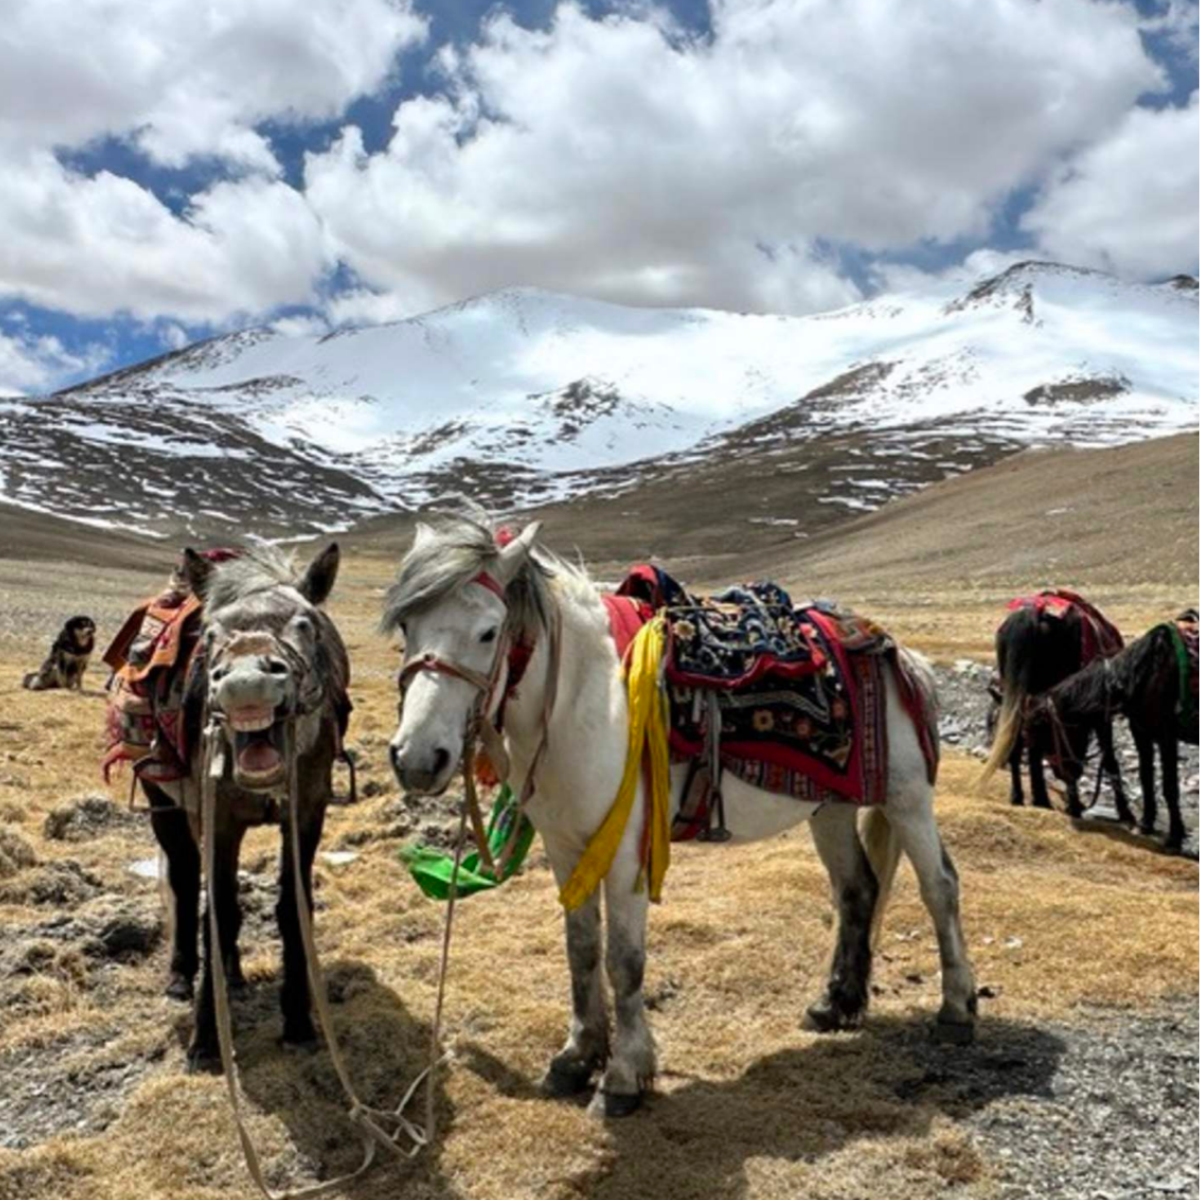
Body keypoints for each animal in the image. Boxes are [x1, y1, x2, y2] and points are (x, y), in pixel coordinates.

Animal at [141, 543, 346, 1068]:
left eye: (306, 624)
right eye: (210, 633)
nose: (246, 682)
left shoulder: (306, 814)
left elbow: (293, 909)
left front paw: (298, 1023)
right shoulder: (216, 818)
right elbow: (219, 912)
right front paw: (205, 1040)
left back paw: (232, 976)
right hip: (164, 806)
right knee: (184, 880)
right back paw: (181, 976)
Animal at [383, 513, 976, 1117]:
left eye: (487, 631)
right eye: (407, 626)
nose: (417, 759)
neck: (586, 703)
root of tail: (903, 657)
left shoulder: (626, 851)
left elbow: (624, 960)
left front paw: (622, 1077)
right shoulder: (565, 846)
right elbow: (581, 950)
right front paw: (576, 1057)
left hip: (907, 798)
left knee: (939, 886)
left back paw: (956, 1010)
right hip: (829, 808)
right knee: (857, 888)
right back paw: (834, 1004)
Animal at [982, 592, 1122, 816]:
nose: (1071, 772)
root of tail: (1032, 615)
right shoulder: (1100, 716)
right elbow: (1110, 758)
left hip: (1016, 694)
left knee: (1019, 742)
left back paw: (1021, 797)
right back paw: (1043, 799)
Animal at [1025, 615, 1198, 852]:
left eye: (1048, 736)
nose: (1062, 775)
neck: (1144, 675)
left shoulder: (1166, 736)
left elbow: (1169, 786)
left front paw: (1174, 837)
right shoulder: (1141, 732)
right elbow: (1146, 776)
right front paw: (1146, 824)